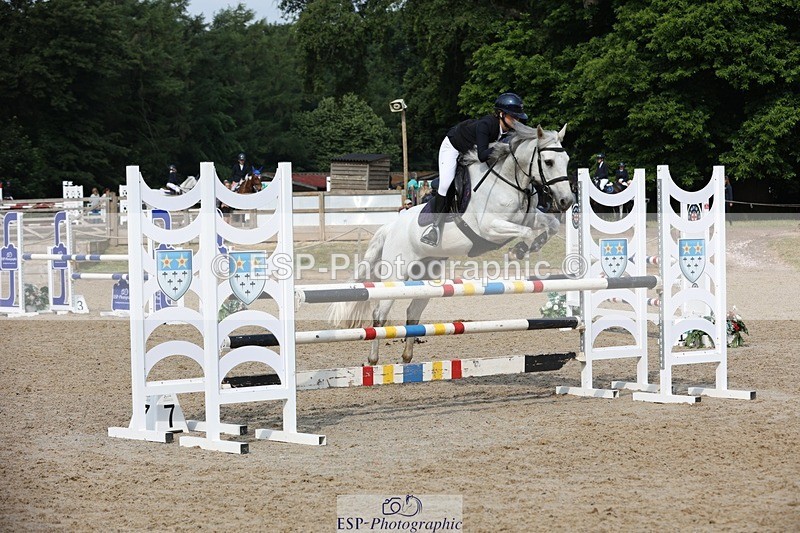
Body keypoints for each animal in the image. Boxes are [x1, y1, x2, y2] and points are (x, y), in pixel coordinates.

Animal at [327, 123, 574, 364]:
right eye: (549, 162)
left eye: (567, 160)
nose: (567, 201)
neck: (510, 181)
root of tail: (390, 227)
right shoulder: (490, 227)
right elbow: (527, 232)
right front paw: (519, 250)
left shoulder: (529, 217)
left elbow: (550, 225)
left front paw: (531, 245)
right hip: (396, 274)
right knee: (380, 314)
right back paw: (372, 359)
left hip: (426, 274)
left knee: (412, 313)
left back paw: (407, 358)